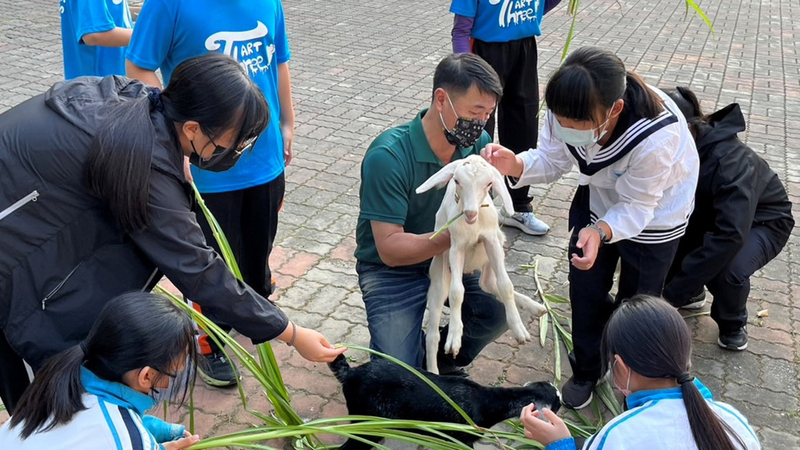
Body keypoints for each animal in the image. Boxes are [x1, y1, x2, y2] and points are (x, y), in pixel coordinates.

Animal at [416, 155, 548, 372]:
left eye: (488, 184)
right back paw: (433, 372)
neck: (473, 226)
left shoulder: (491, 241)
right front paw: (454, 339)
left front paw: (519, 330)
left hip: (493, 252)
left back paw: (536, 307)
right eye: (457, 181)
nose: (470, 213)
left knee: (487, 283)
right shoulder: (456, 247)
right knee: (433, 334)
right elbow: (456, 292)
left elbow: (506, 285)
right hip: (439, 274)